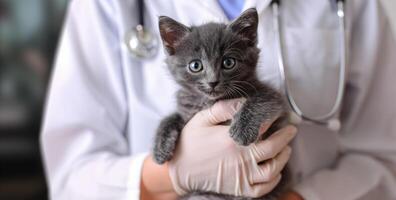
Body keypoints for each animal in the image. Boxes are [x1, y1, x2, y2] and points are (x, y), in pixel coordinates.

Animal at [153, 8, 290, 200]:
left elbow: (261, 100)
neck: (211, 101)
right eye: (195, 65)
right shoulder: (188, 113)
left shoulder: (274, 95)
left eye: (228, 62)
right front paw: (160, 148)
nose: (213, 82)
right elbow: (170, 118)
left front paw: (242, 129)